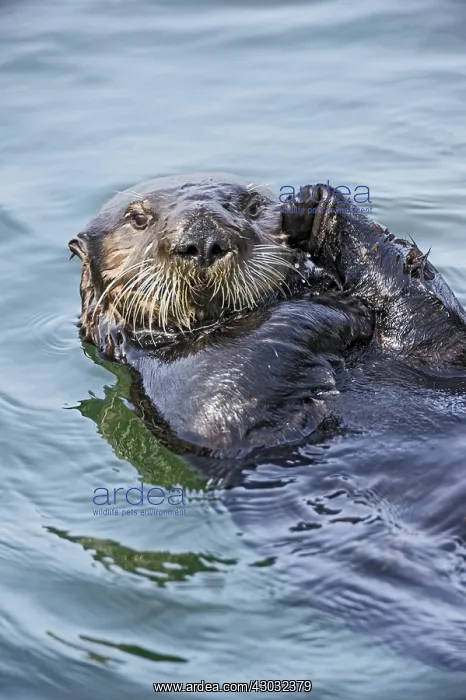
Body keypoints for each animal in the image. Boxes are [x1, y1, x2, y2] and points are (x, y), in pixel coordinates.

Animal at [69, 173, 466, 456]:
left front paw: (313, 202)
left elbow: (439, 338)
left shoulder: (435, 355)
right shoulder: (183, 393)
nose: (203, 238)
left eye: (252, 206)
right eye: (137, 218)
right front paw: (338, 306)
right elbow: (219, 402)